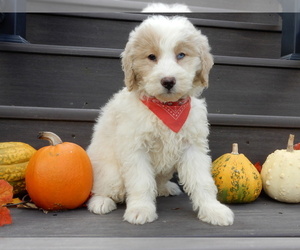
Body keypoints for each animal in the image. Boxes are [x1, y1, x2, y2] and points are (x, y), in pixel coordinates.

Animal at [86, 15, 234, 227]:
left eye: (181, 55)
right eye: (151, 57)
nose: (168, 81)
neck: (168, 108)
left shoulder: (193, 146)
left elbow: (202, 181)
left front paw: (213, 209)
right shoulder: (135, 147)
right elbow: (141, 182)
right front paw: (140, 210)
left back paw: (165, 188)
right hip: (110, 172)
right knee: (103, 188)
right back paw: (101, 202)